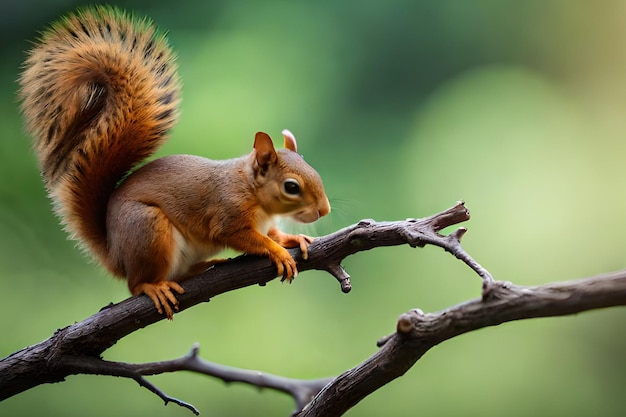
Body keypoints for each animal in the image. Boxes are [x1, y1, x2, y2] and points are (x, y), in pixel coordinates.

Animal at [18, 5, 332, 318]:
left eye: (314, 172)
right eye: (291, 187)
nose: (325, 210)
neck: (254, 193)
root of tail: (116, 255)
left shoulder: (265, 222)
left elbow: (274, 233)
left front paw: (292, 239)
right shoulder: (227, 216)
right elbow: (249, 238)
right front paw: (277, 252)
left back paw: (204, 266)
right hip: (148, 230)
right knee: (136, 284)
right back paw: (153, 287)